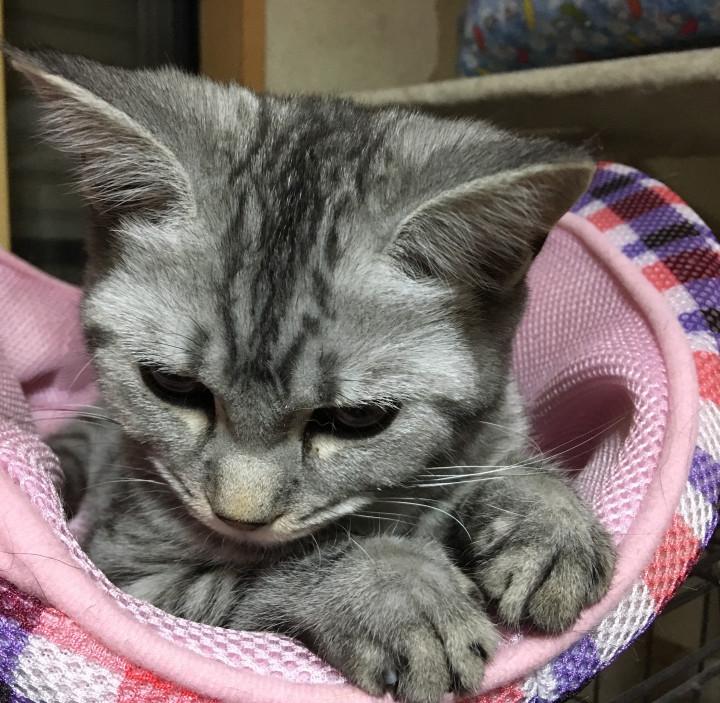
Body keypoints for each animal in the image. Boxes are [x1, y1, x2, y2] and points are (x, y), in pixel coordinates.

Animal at [8, 46, 615, 703]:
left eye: (356, 419)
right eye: (174, 387)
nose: (240, 515)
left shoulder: (496, 423)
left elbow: (509, 465)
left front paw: (550, 516)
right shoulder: (134, 577)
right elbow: (261, 574)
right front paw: (392, 589)